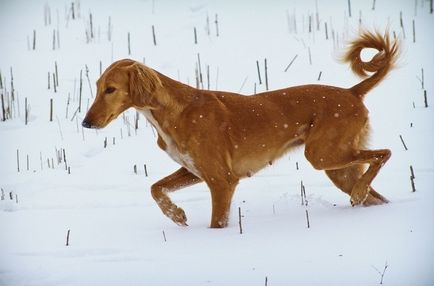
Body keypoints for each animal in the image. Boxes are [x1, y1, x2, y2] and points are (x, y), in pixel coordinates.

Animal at [82, 30, 400, 228]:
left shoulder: (222, 180)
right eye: (97, 87)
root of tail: (351, 92)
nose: (86, 123)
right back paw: (364, 198)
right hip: (338, 168)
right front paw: (176, 215)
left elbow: (216, 223)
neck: (175, 111)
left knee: (384, 153)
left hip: (323, 155)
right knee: (377, 193)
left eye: (111, 89)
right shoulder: (193, 170)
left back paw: (359, 192)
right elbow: (155, 187)